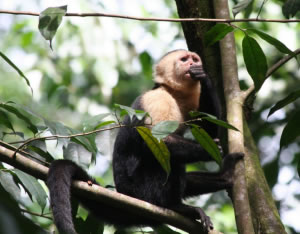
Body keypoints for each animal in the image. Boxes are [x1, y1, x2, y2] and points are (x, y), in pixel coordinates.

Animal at [47, 49, 244, 234]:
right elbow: (159, 141)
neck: (173, 94)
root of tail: (125, 195)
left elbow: (209, 130)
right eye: (184, 59)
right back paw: (176, 207)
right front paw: (209, 152)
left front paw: (205, 77)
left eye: (194, 59)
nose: (192, 64)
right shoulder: (157, 100)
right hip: (142, 191)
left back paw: (224, 176)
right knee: (165, 161)